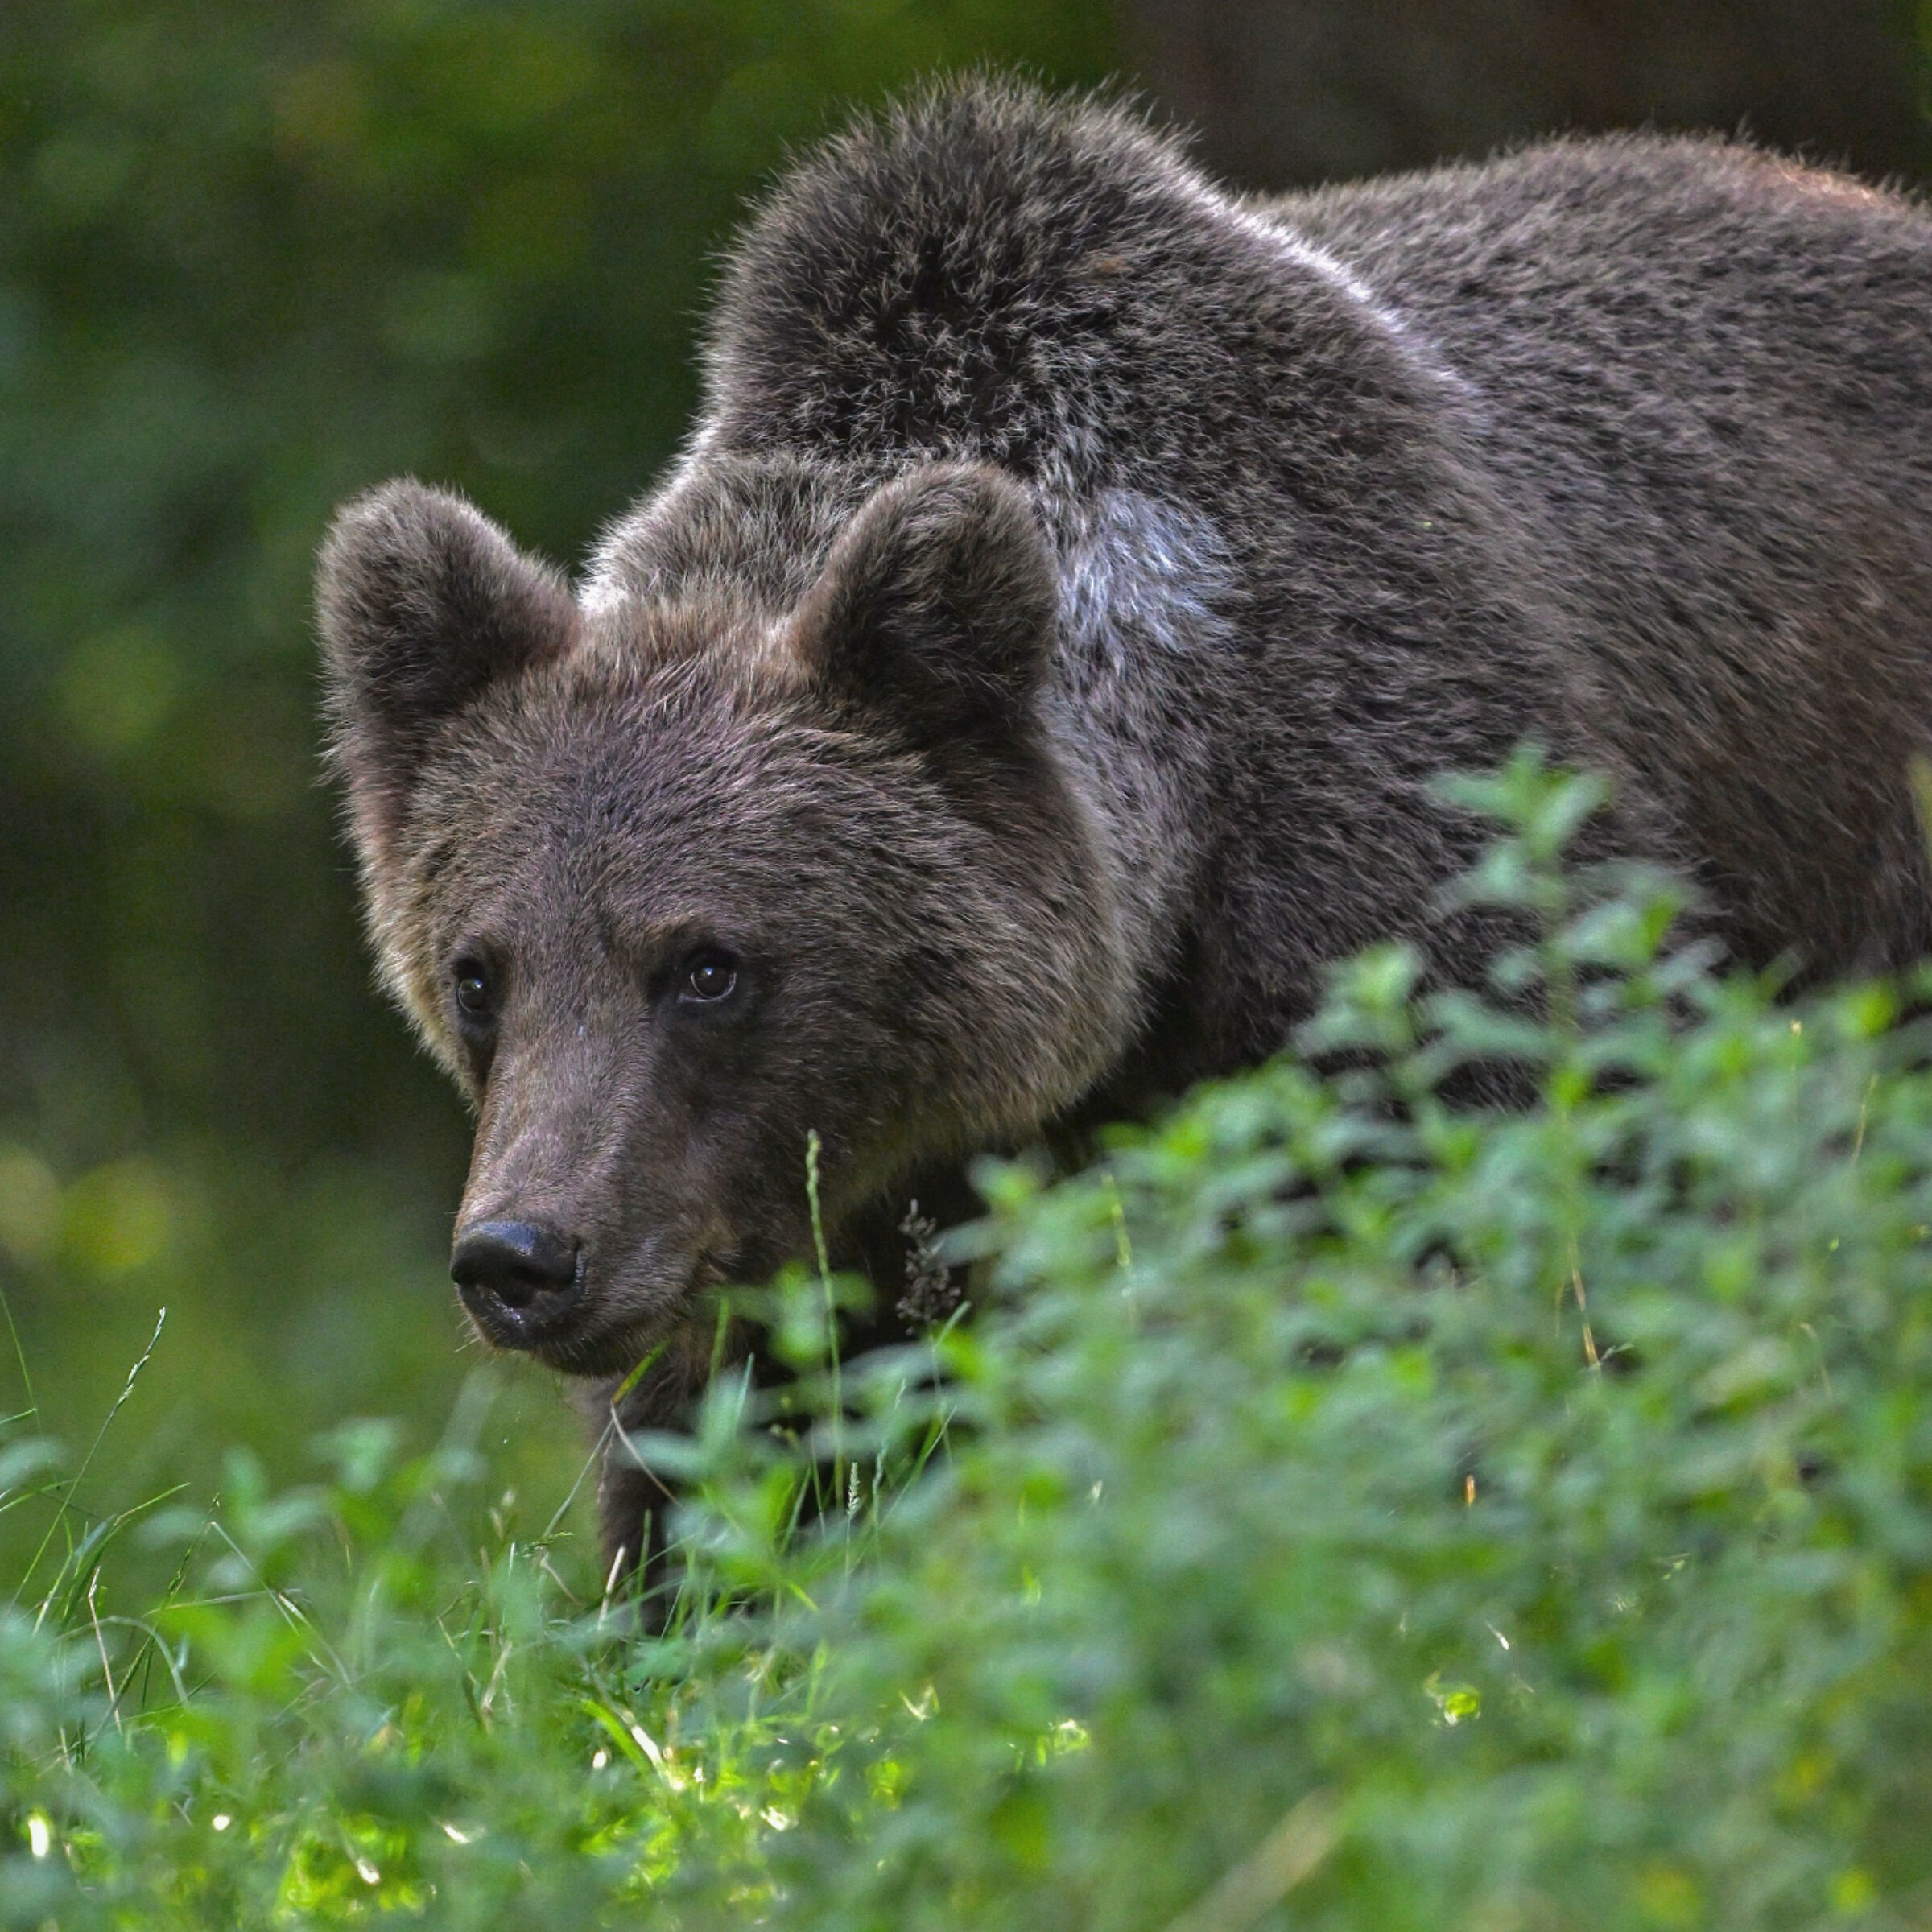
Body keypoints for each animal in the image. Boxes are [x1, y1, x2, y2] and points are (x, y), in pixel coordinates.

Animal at [317, 79, 1932, 1587]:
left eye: (708, 964)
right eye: (479, 971)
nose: (523, 1258)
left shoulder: (1420, 837)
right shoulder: (829, 1196)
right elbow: (757, 1440)